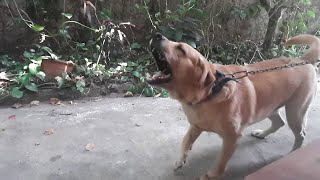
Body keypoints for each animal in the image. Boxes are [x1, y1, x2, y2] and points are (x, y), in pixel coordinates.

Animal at [146, 33, 318, 179]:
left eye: (181, 49)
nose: (157, 35)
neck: (210, 92)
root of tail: (303, 59)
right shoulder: (195, 126)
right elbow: (185, 141)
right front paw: (180, 160)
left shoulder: (232, 138)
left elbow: (221, 162)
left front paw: (211, 175)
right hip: (270, 107)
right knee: (279, 122)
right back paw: (262, 134)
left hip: (295, 112)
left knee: (301, 134)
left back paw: (293, 153)